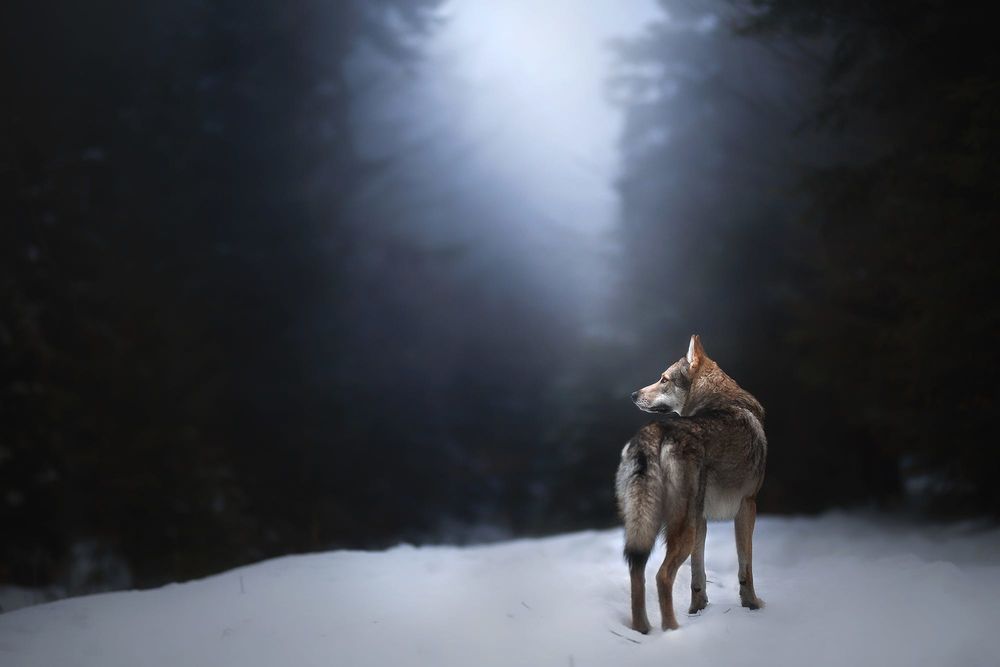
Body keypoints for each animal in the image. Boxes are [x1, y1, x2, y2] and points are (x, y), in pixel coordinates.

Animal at [615, 334, 766, 632]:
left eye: (664, 379)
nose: (633, 395)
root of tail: (654, 430)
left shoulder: (703, 517)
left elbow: (698, 574)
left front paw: (698, 608)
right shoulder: (747, 506)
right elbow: (746, 566)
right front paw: (752, 604)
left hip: (651, 525)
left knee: (637, 572)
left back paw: (642, 629)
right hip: (683, 527)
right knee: (662, 576)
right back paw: (672, 630)